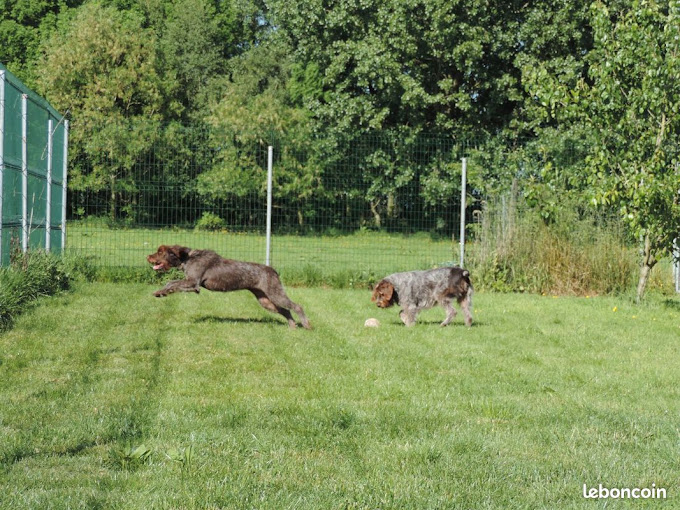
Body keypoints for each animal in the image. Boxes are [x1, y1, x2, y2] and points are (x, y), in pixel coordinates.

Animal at [147, 244, 312, 330]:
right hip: (265, 300)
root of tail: (272, 270)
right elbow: (173, 284)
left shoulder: (193, 282)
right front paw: (161, 292)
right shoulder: (193, 286)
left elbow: (172, 283)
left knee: (297, 306)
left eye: (160, 252)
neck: (187, 258)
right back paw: (292, 326)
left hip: (275, 294)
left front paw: (160, 292)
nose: (148, 257)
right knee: (285, 310)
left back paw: (306, 324)